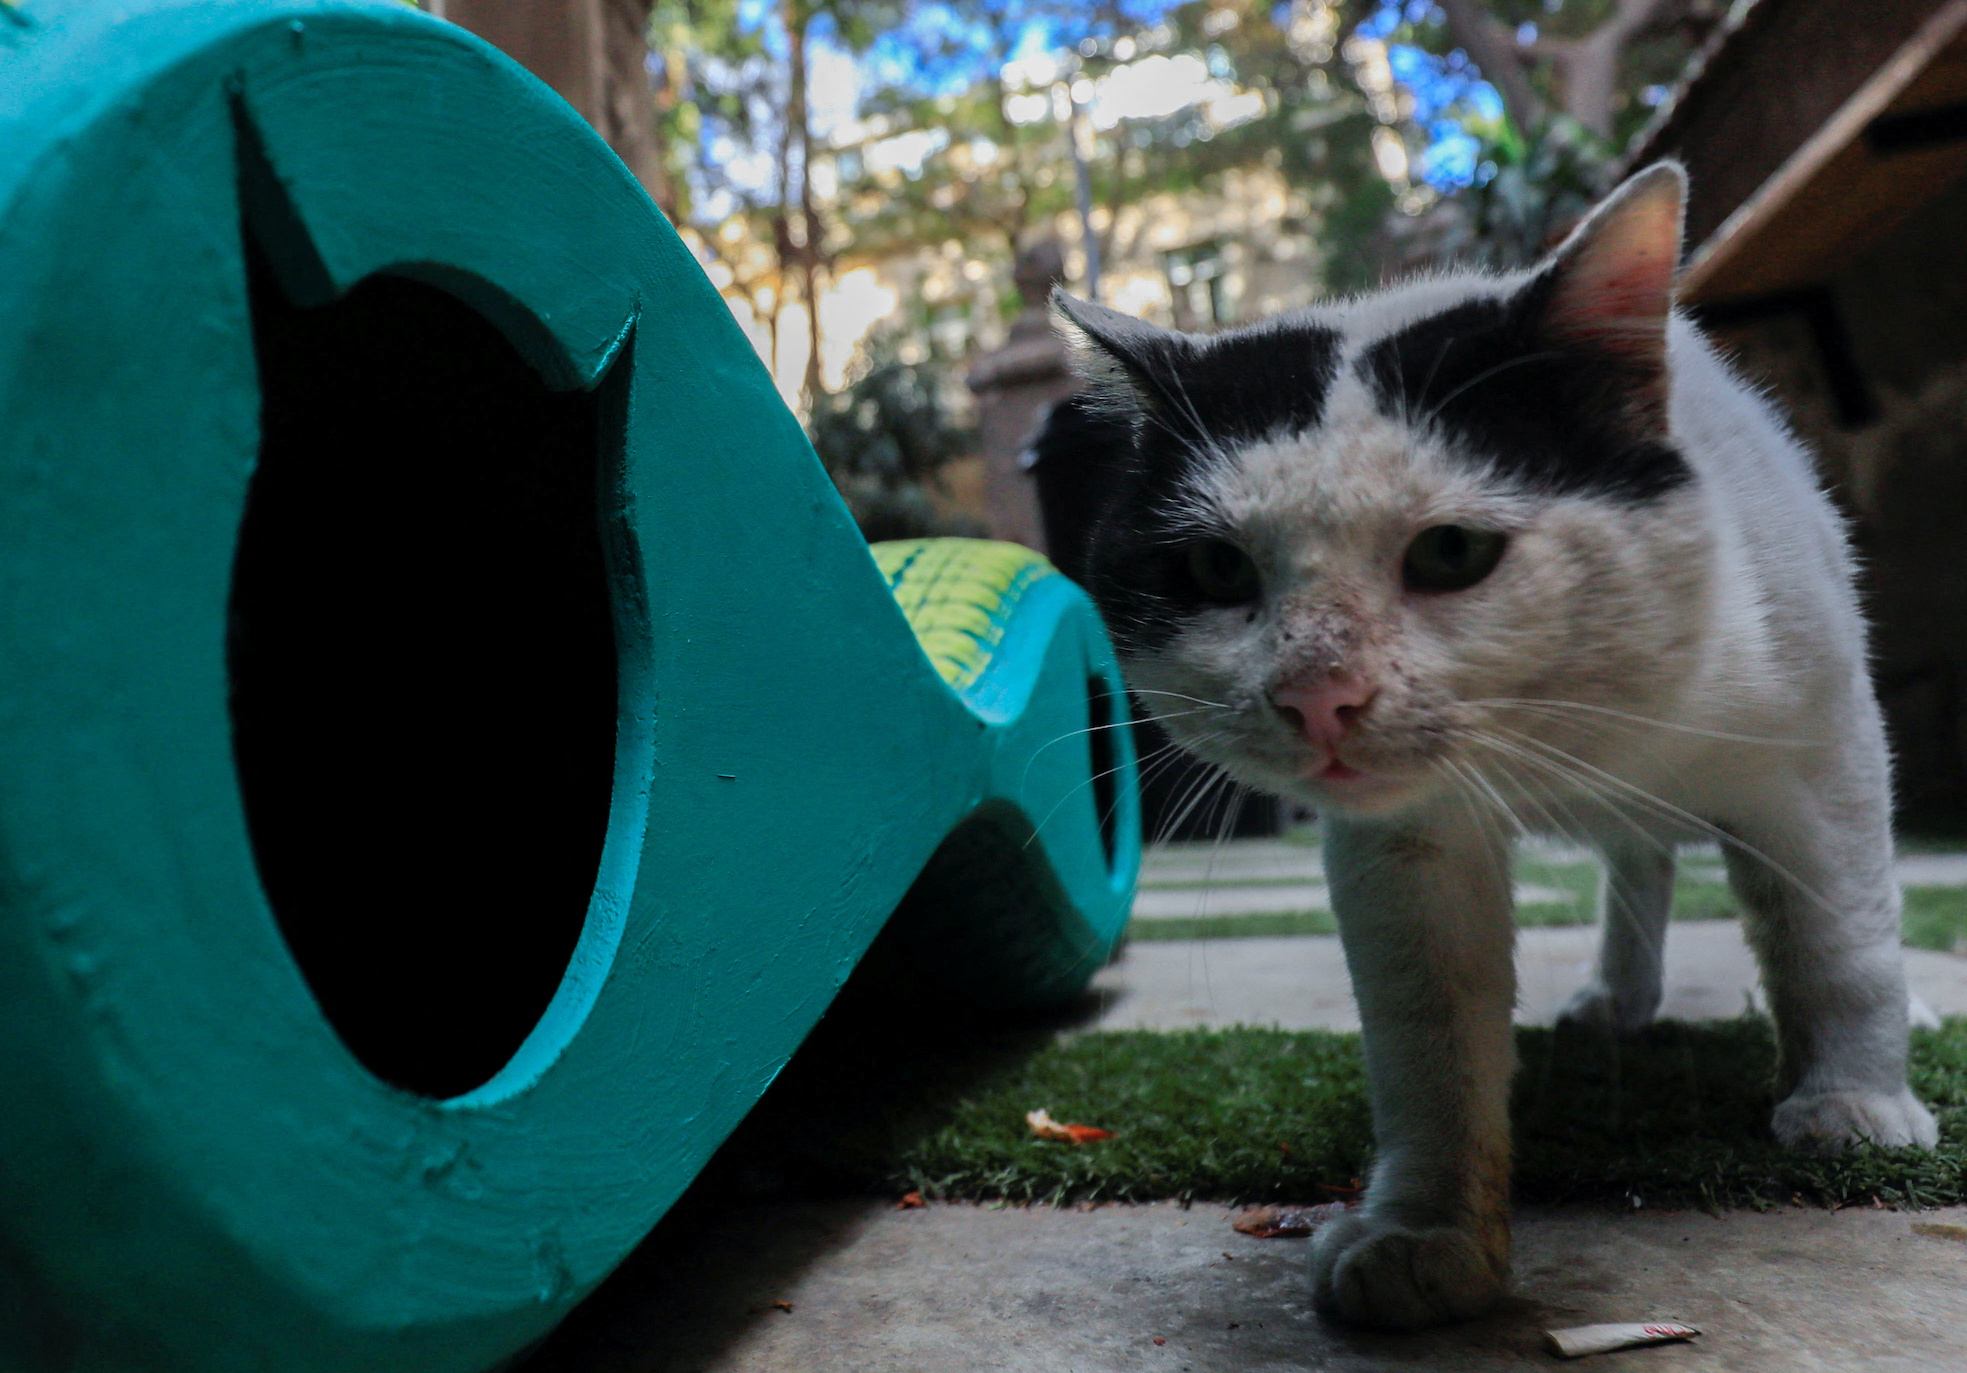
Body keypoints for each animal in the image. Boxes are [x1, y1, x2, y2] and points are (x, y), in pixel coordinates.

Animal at [1046, 163, 1935, 1329]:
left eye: (1451, 552)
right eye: (1213, 569)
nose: (1316, 694)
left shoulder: (1819, 742)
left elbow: (1836, 938)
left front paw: (1853, 1100)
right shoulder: (1402, 846)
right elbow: (1429, 1034)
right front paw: (1425, 1235)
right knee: (1638, 860)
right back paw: (1615, 998)